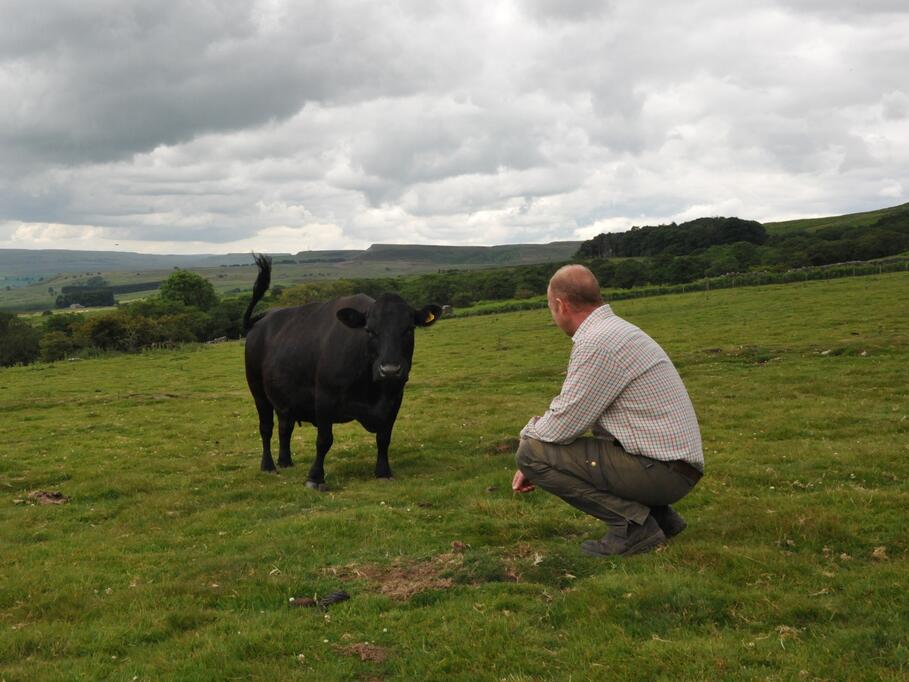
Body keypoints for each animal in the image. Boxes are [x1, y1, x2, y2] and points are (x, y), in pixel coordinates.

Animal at [241, 252, 440, 486]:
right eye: (369, 330)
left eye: (409, 329)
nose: (390, 370)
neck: (371, 388)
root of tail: (259, 322)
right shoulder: (324, 398)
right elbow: (324, 440)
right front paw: (315, 477)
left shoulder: (395, 398)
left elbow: (384, 438)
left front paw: (383, 471)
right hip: (258, 391)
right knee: (266, 428)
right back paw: (268, 465)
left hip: (283, 396)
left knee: (284, 426)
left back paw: (285, 461)